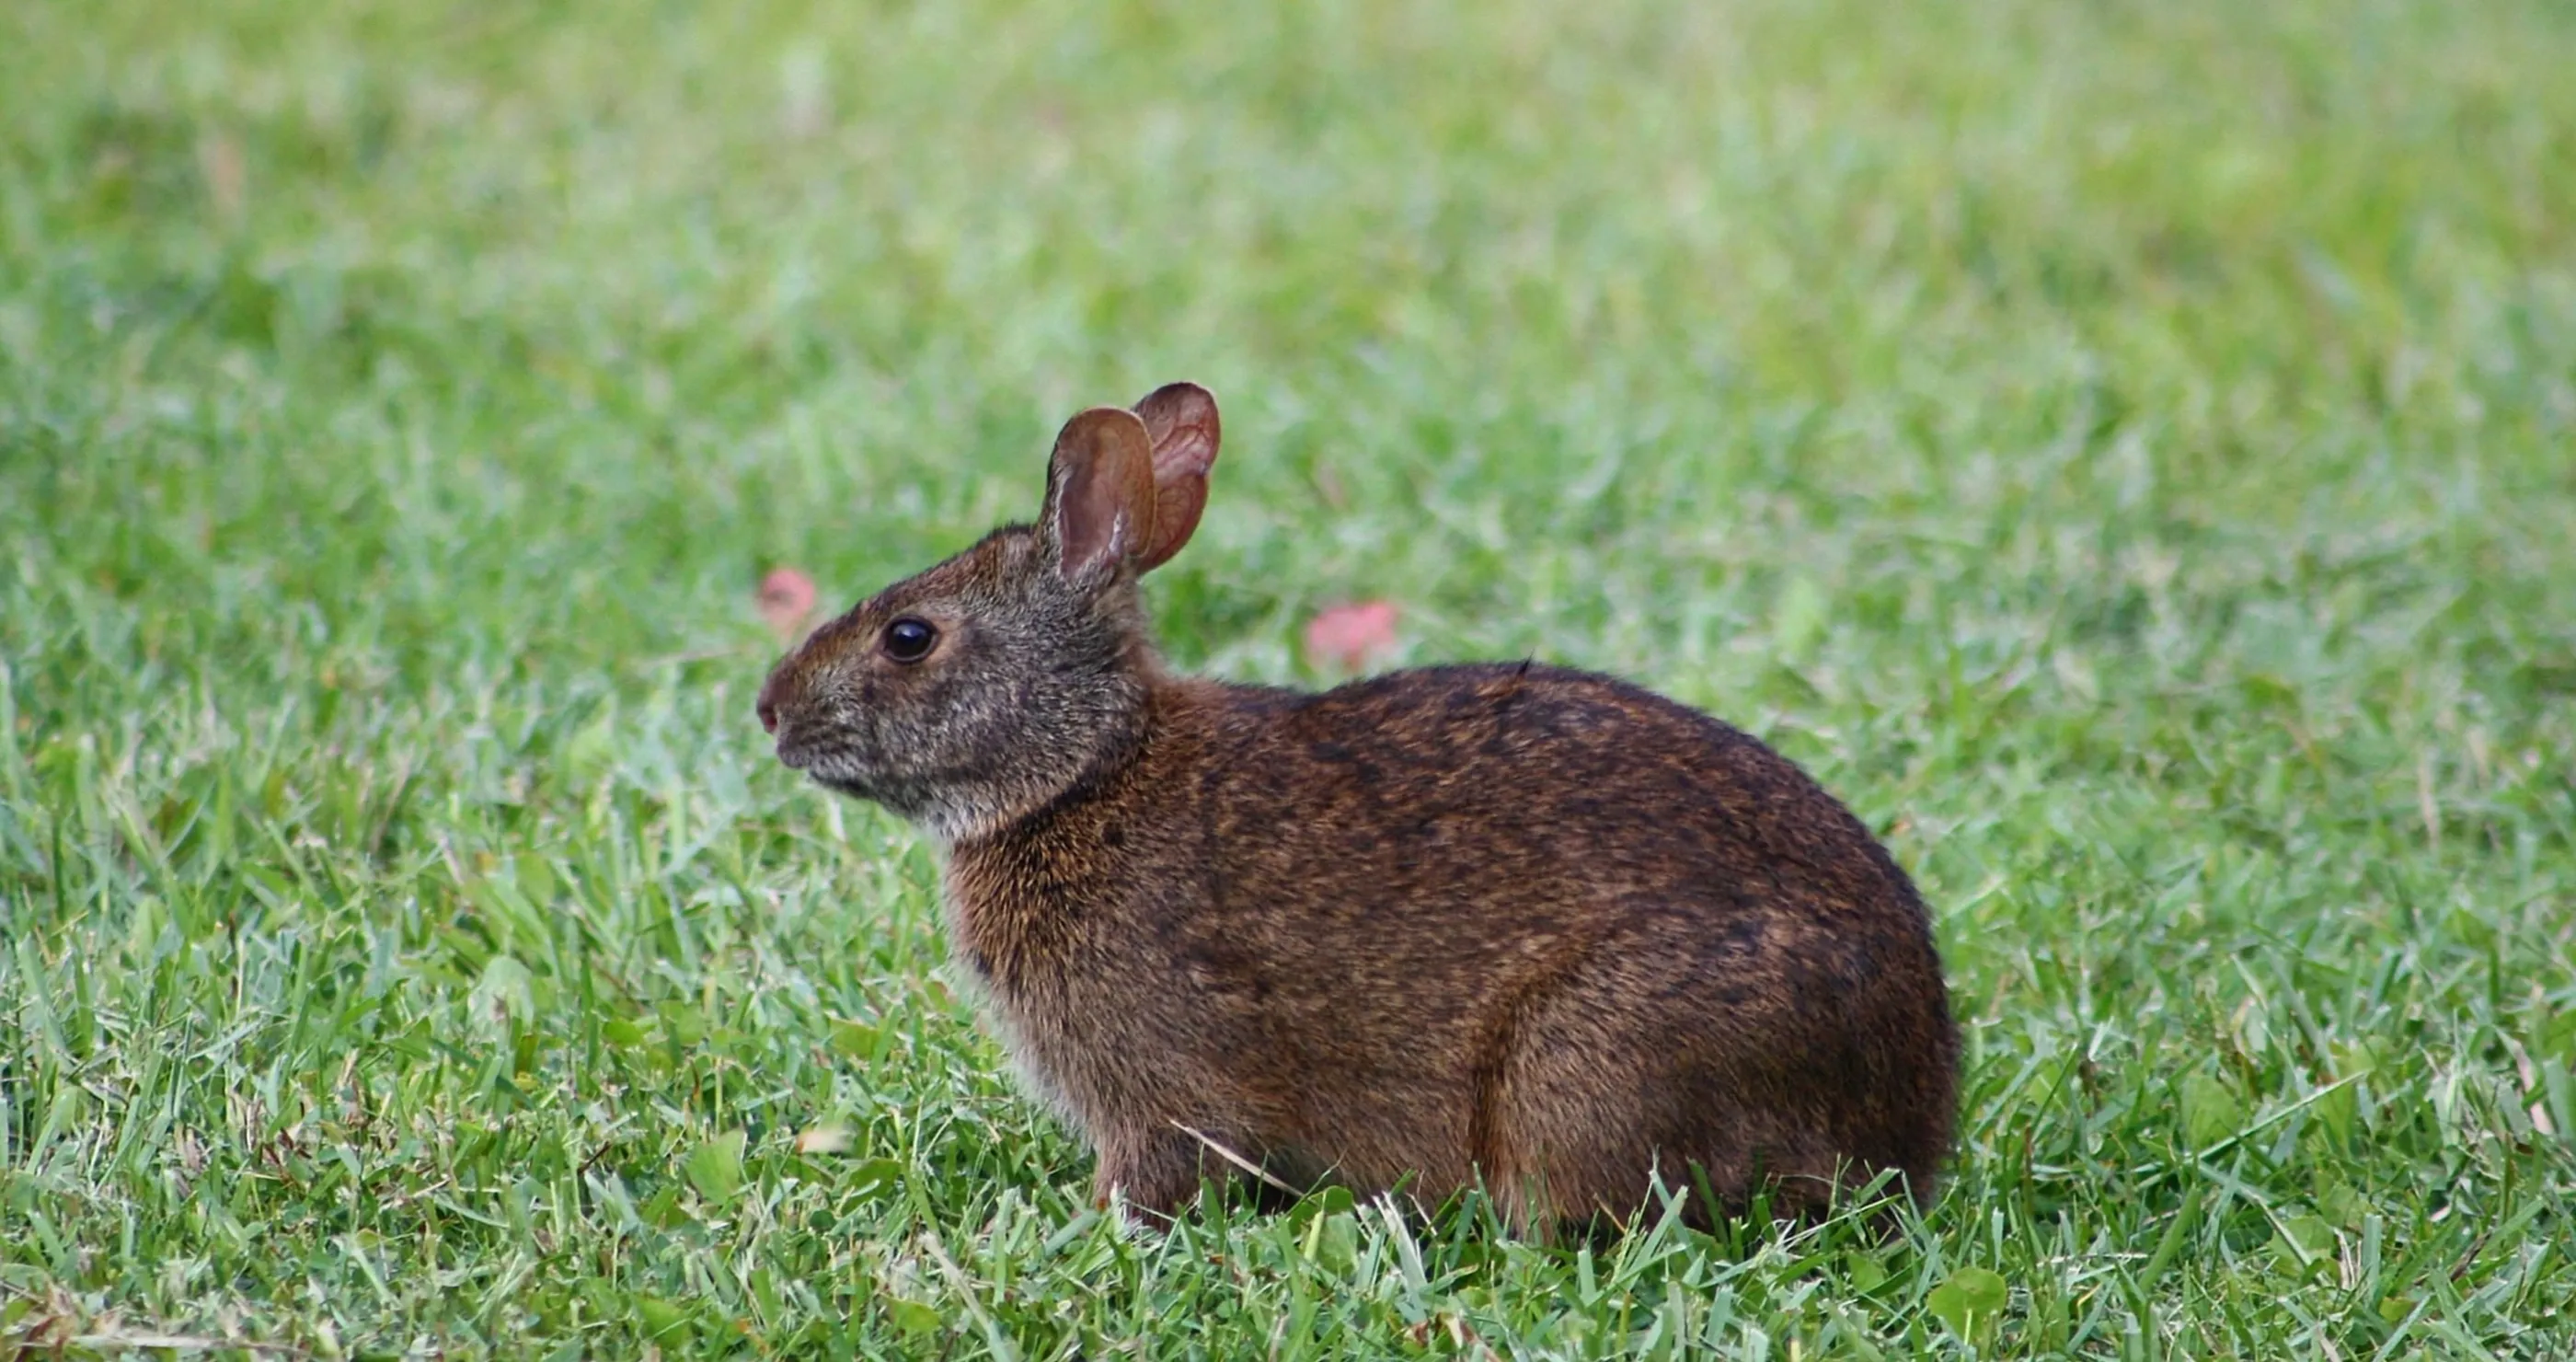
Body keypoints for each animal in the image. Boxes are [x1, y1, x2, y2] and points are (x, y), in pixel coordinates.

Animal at [752, 378, 1958, 1230]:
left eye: (910, 636)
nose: (769, 710)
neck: (1091, 768)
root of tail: (1911, 1114)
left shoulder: (1159, 1084)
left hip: (1592, 1057)